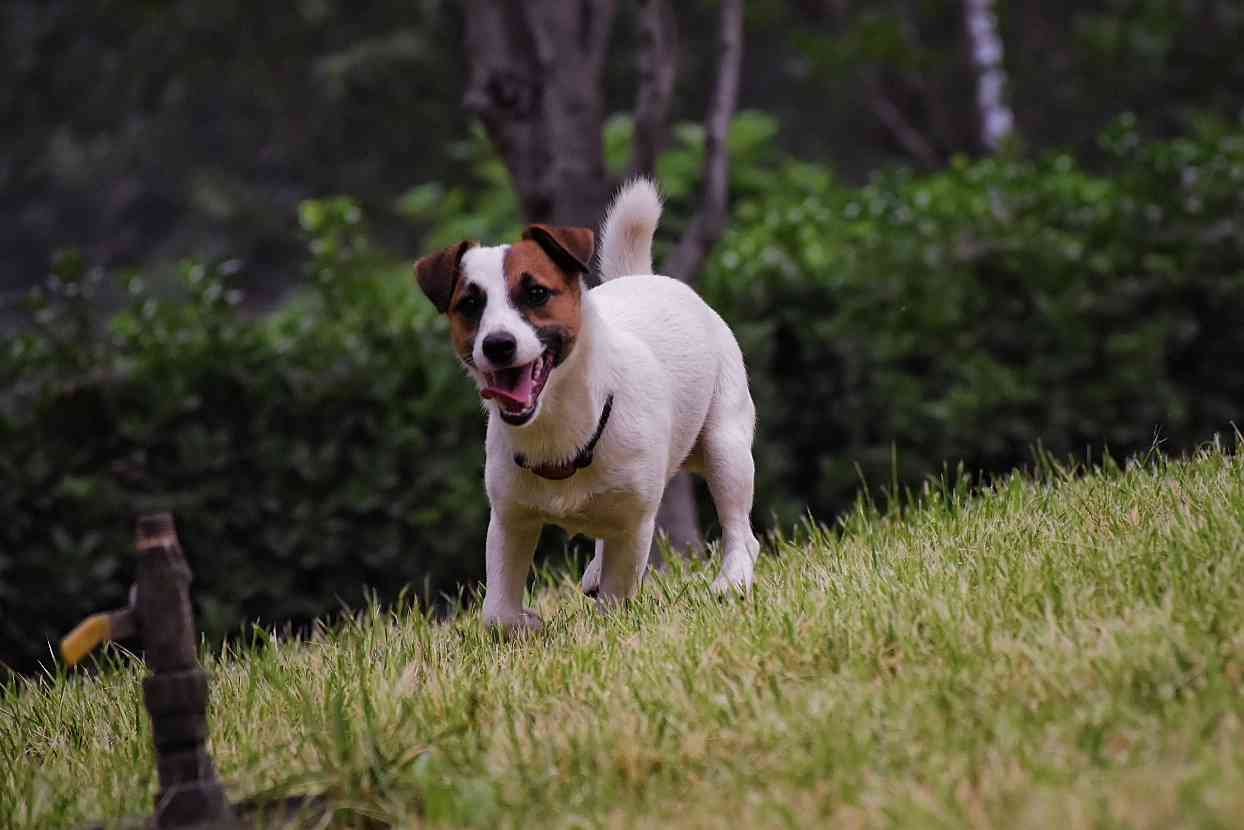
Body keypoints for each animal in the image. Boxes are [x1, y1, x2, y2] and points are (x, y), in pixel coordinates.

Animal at [415, 176, 756, 629]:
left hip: (725, 444)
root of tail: (644, 276)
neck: (561, 426)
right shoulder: (509, 520)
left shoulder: (636, 522)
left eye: (536, 293)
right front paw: (525, 624)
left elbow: (616, 594)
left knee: (740, 526)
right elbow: (496, 613)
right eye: (469, 304)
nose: (498, 344)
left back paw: (733, 578)